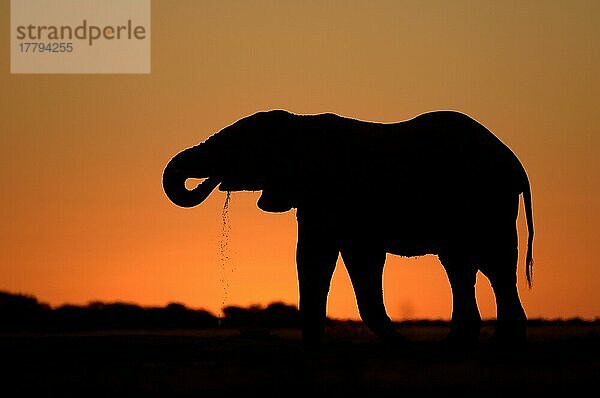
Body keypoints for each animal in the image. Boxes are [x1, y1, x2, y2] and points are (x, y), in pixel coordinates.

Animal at [162, 110, 532, 346]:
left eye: (241, 148)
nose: (211, 181)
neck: (301, 123)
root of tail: (515, 163)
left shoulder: (337, 196)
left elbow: (339, 258)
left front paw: (398, 344)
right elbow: (318, 257)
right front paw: (313, 345)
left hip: (489, 201)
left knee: (494, 266)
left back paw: (498, 343)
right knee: (465, 267)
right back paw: (463, 343)